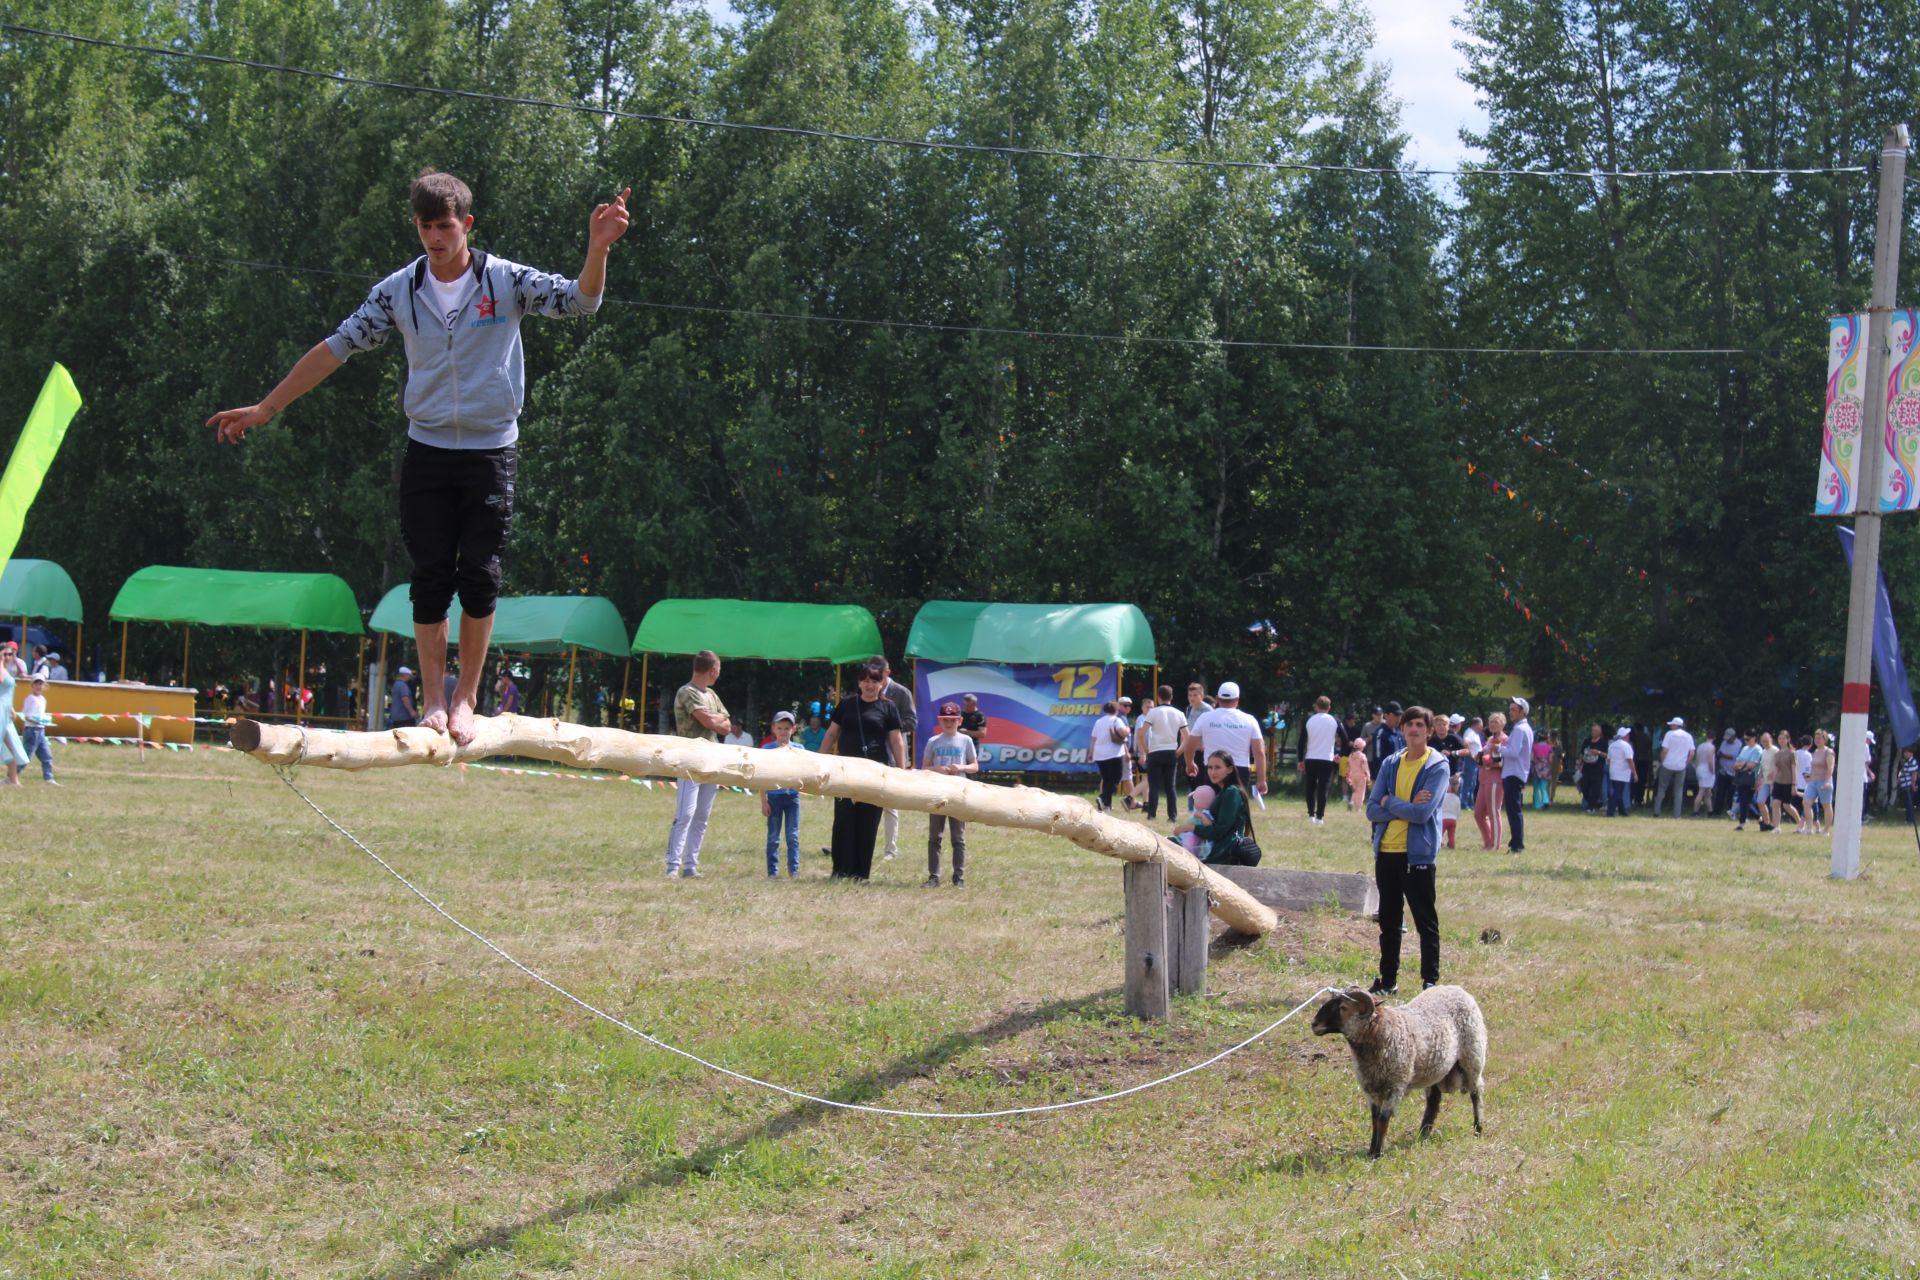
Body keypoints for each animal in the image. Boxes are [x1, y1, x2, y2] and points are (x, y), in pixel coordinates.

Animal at [1305, 982, 1482, 1159]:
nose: (1314, 1024)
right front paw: (1371, 1151)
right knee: (1433, 1100)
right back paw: (1423, 1134)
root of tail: (1456, 988)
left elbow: (1383, 1118)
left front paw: (1378, 1153)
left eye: (1343, 1007)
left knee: (1476, 1092)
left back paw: (1478, 1129)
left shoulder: (1395, 1085)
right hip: (1436, 1069)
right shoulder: (1371, 1088)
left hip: (1473, 1057)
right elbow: (1375, 1118)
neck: (1383, 1032)